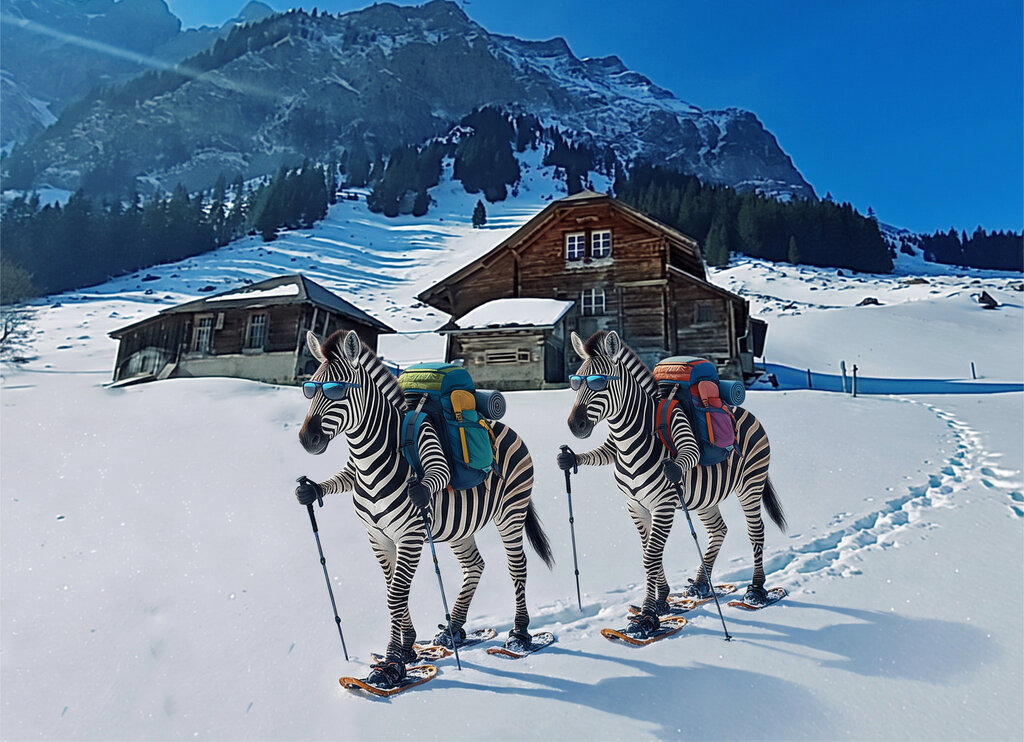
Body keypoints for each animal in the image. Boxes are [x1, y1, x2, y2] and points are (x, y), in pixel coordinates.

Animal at [296, 329, 553, 685]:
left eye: (337, 390)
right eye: (310, 389)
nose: (307, 439)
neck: (369, 461)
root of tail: (502, 426)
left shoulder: (411, 534)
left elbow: (395, 595)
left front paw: (391, 664)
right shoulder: (378, 537)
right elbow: (393, 591)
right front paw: (407, 650)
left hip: (510, 513)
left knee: (518, 566)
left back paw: (519, 635)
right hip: (462, 527)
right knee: (475, 565)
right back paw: (454, 631)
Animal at [558, 329, 786, 637]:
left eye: (599, 382)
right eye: (576, 382)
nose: (575, 425)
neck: (629, 442)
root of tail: (744, 411)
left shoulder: (663, 504)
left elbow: (651, 556)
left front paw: (648, 616)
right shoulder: (635, 505)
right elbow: (648, 551)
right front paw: (662, 601)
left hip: (750, 485)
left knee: (756, 531)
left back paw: (756, 590)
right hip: (705, 498)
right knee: (719, 530)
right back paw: (701, 585)